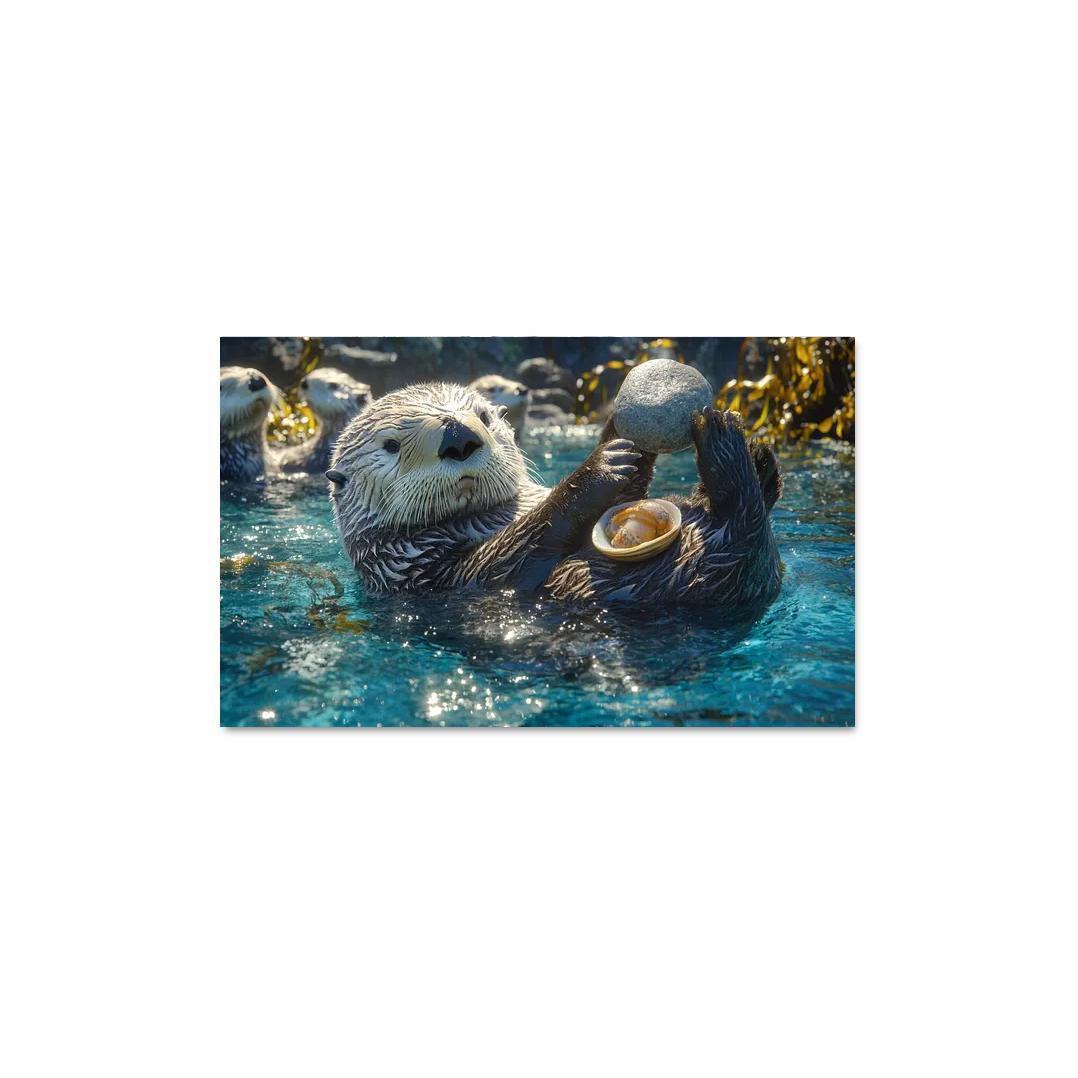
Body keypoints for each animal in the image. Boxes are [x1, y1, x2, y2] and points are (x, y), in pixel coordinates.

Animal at [328, 382, 782, 609]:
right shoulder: (424, 570)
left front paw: (620, 434)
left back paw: (757, 457)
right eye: (390, 445)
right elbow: (514, 551)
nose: (457, 437)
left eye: (484, 416)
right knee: (739, 514)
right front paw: (602, 464)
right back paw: (721, 437)